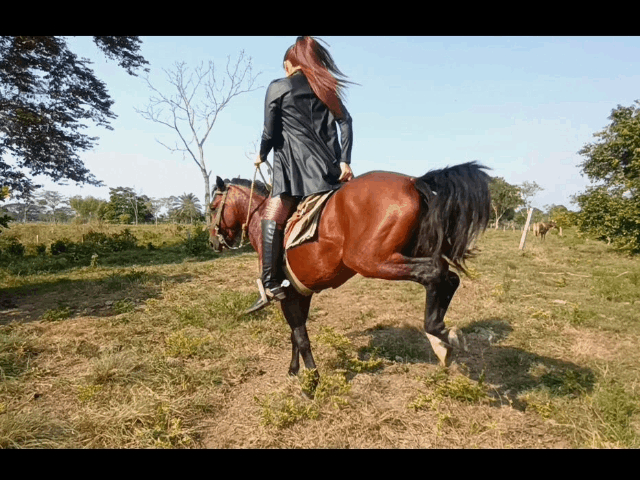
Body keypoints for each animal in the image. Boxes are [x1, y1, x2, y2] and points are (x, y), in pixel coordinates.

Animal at [208, 162, 491, 393]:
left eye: (212, 207)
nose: (213, 242)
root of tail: (413, 181)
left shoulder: (285, 294)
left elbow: (300, 337)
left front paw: (311, 382)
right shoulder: (300, 294)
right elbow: (295, 336)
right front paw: (294, 371)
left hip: (373, 261)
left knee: (434, 273)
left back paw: (438, 333)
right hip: (405, 252)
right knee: (449, 277)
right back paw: (442, 338)